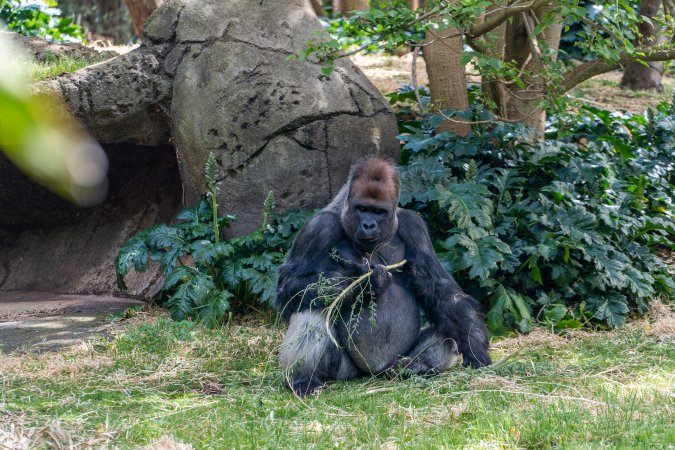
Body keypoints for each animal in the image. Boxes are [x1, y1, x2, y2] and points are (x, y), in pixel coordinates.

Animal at [274, 157, 491, 396]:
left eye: (378, 212)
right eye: (362, 209)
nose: (368, 224)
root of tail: (377, 372)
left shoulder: (413, 225)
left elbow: (438, 288)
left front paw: (474, 345)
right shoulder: (318, 229)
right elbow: (290, 286)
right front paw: (363, 284)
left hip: (394, 361)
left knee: (446, 334)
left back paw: (414, 367)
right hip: (347, 372)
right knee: (311, 307)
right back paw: (304, 379)